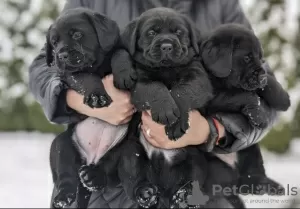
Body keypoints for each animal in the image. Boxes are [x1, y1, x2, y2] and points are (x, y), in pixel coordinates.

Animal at [46, 7, 119, 208]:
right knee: (67, 175)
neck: (98, 65)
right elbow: (87, 77)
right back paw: (64, 196)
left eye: (77, 34)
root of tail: (91, 159)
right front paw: (96, 96)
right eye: (54, 42)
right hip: (61, 144)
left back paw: (93, 177)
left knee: (110, 170)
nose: (61, 55)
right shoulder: (71, 74)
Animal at [200, 24, 290, 194]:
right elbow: (243, 94)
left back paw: (269, 186)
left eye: (261, 58)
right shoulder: (208, 98)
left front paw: (284, 99)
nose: (261, 77)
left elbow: (268, 83)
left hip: (251, 150)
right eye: (247, 58)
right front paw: (259, 116)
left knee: (252, 175)